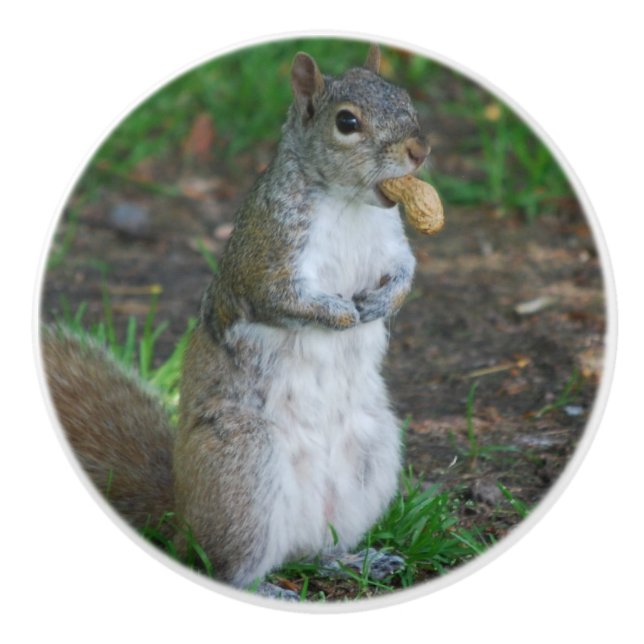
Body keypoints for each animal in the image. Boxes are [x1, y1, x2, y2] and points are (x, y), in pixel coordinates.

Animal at [42, 44, 431, 591]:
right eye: (347, 122)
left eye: (405, 97)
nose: (419, 151)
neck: (350, 203)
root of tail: (184, 518)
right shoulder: (266, 253)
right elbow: (281, 299)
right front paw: (338, 313)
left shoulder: (391, 242)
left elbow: (405, 273)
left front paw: (382, 303)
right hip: (244, 471)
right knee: (230, 568)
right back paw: (269, 587)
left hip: (371, 457)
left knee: (316, 550)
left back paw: (356, 559)